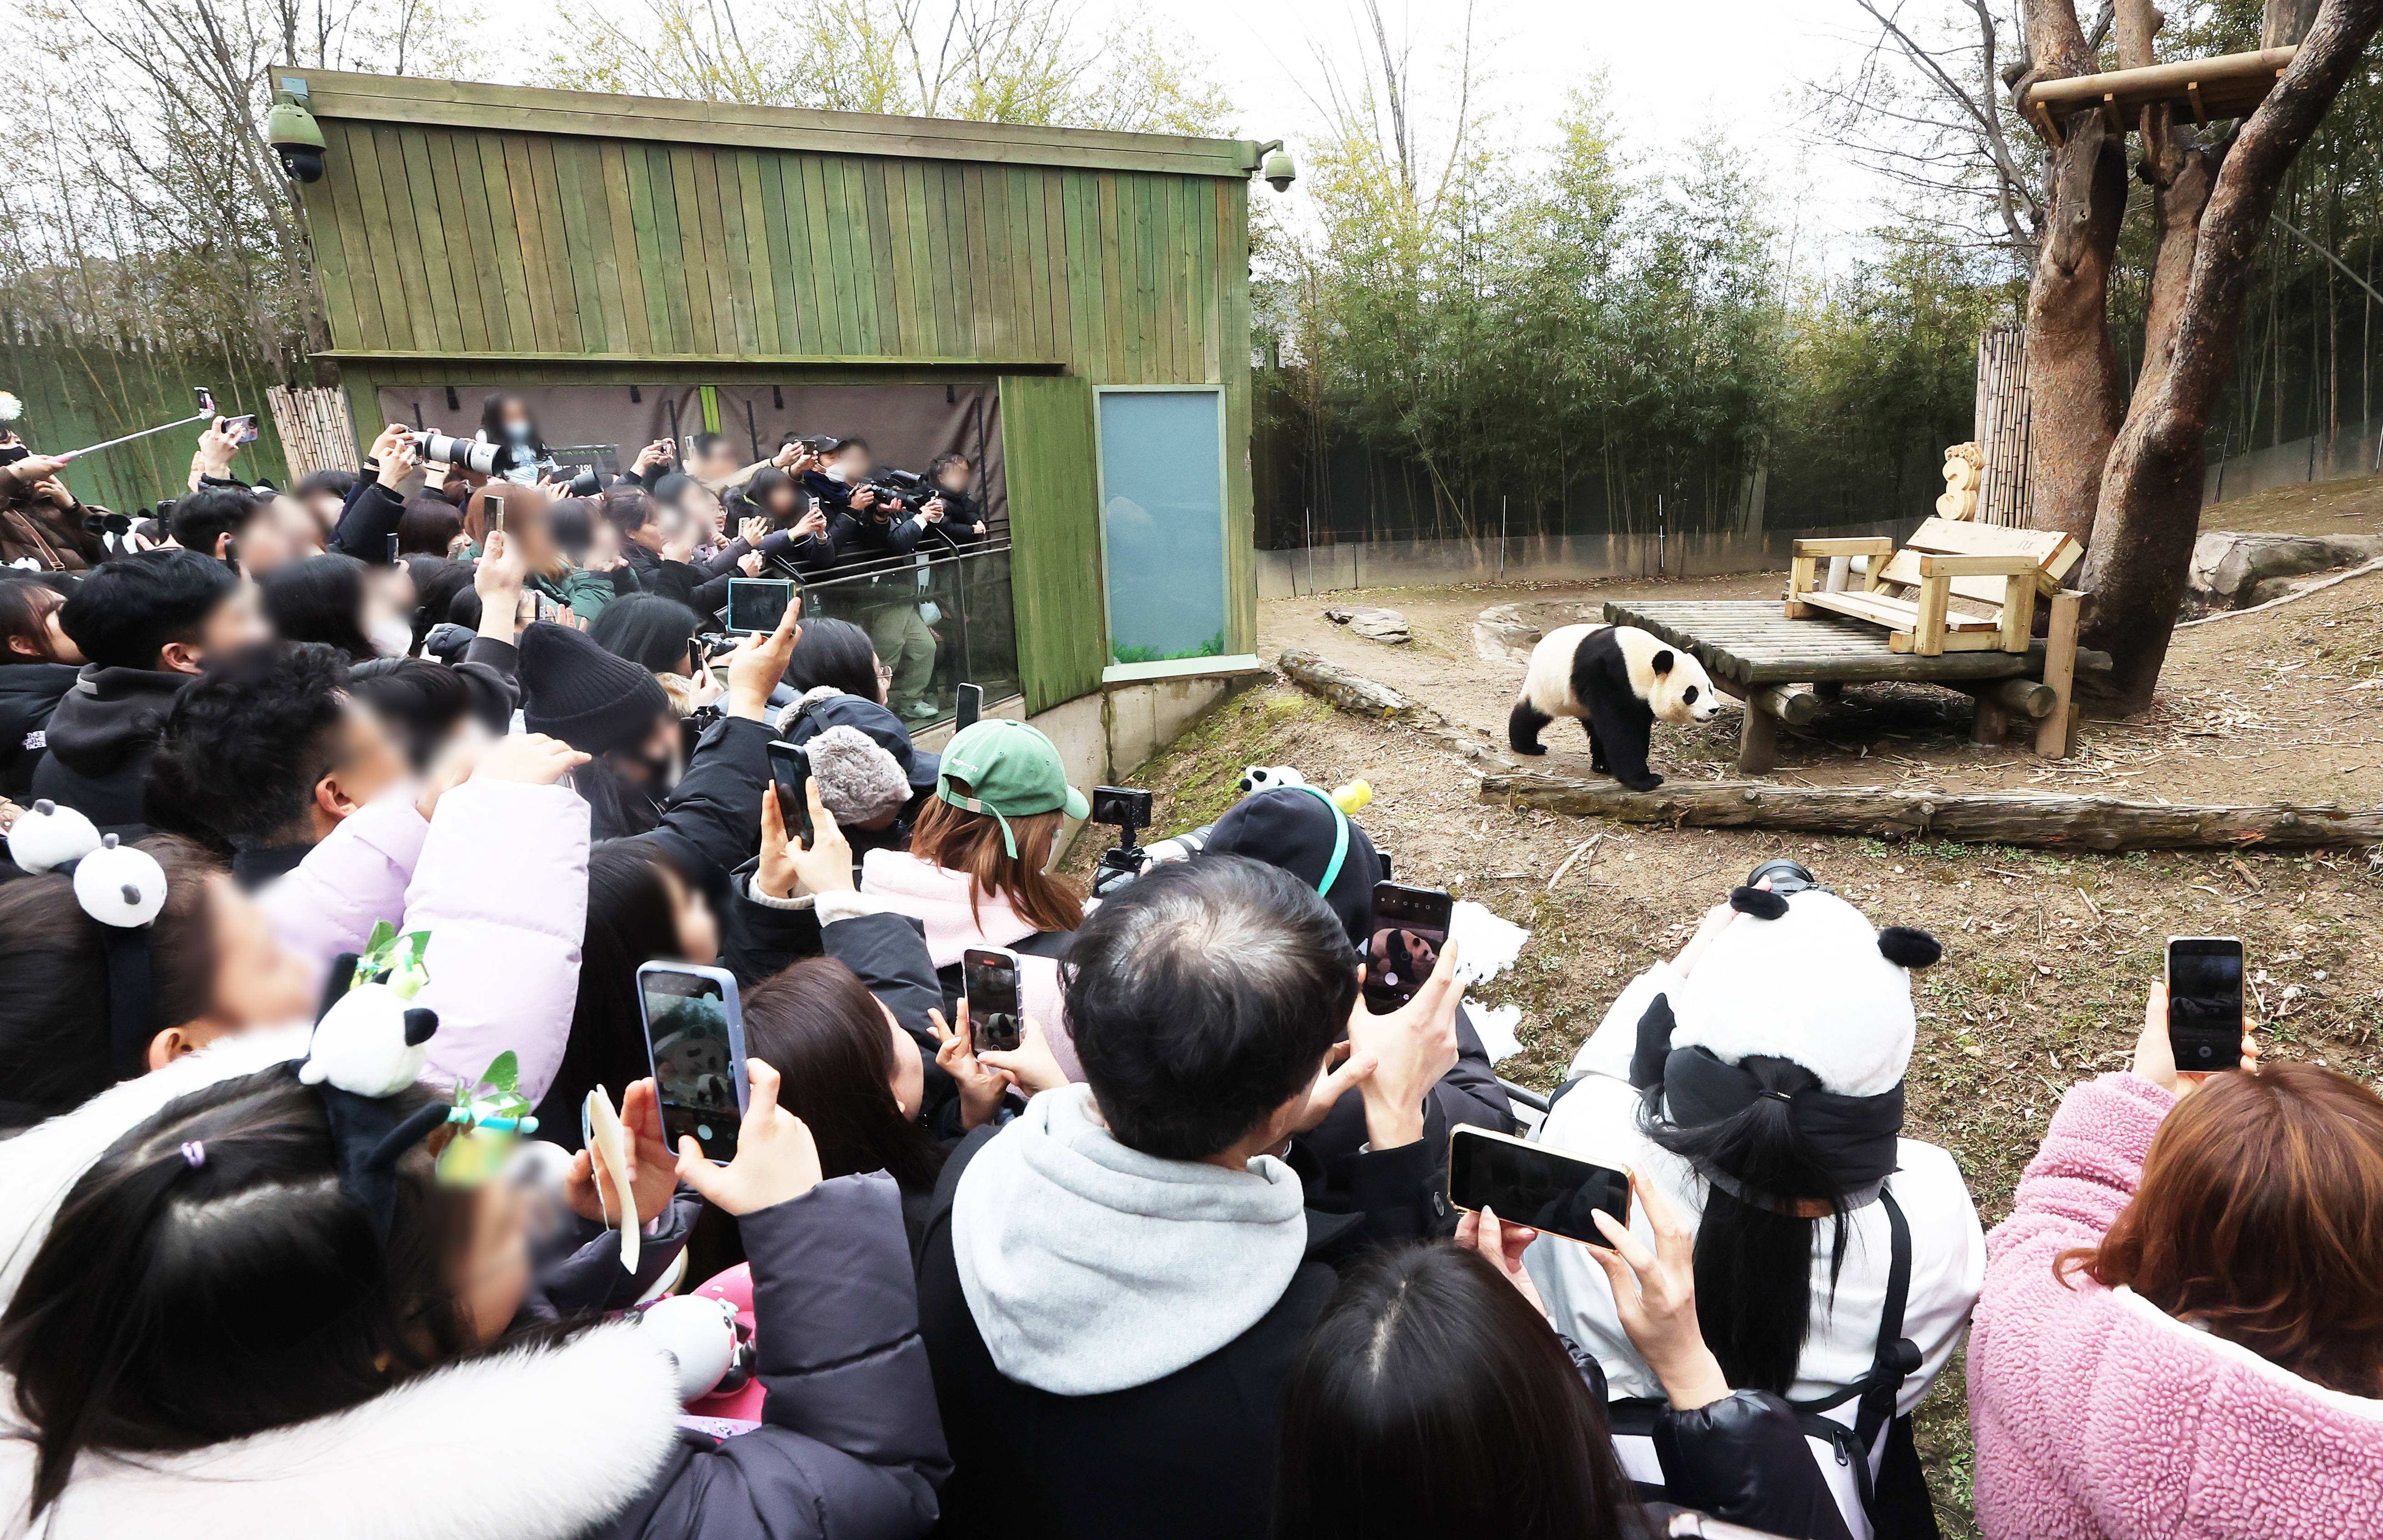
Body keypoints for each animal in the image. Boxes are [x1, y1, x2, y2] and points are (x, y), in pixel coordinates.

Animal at [1515, 629, 1725, 796]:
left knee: (1595, 727)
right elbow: (1619, 730)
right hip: (1549, 687)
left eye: (1710, 688)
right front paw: (1645, 780)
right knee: (1532, 713)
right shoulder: (1607, 676)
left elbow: (1636, 725)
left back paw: (1602, 765)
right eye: (1692, 693)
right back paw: (1528, 745)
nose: (1713, 709)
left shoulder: (1640, 699)